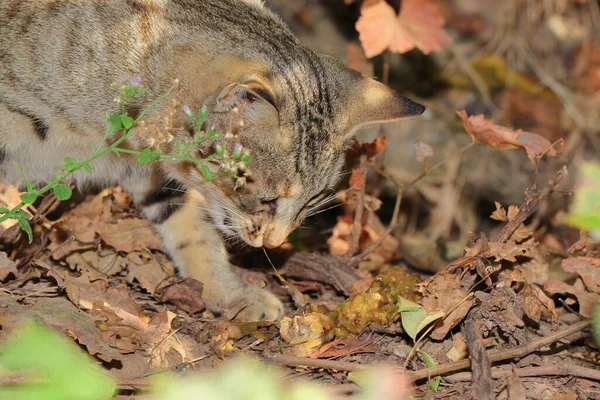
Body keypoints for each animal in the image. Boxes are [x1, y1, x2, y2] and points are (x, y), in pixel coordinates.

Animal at [0, 0, 424, 318]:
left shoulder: (155, 173)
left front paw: (230, 292)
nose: (275, 242)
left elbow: (195, 231)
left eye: (311, 203)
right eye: (268, 199)